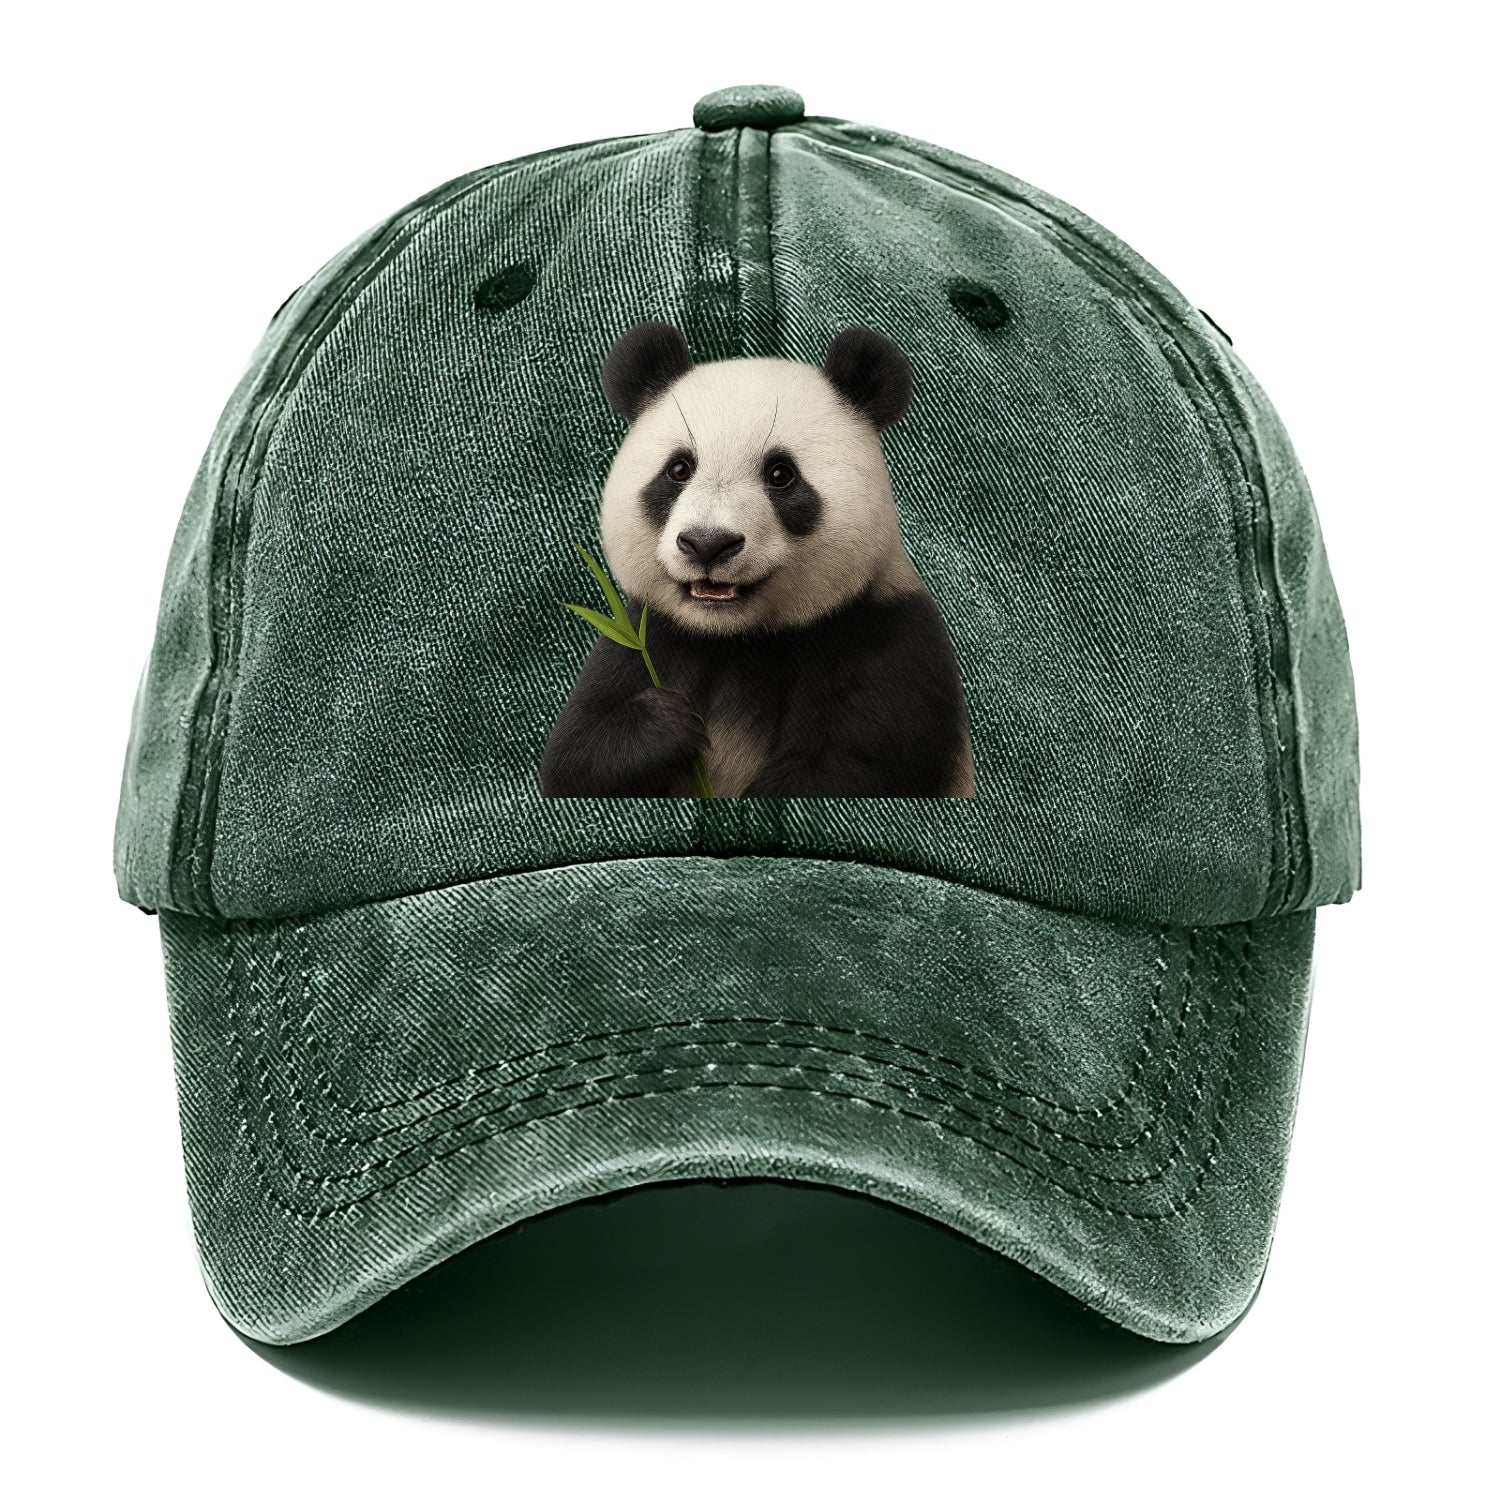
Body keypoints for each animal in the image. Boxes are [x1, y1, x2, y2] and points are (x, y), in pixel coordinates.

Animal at [539, 322, 975, 798]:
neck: (736, 638)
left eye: (781, 474)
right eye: (679, 469)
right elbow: (574, 754)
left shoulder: (885, 639)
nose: (708, 543)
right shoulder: (646, 635)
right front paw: (666, 723)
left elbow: (845, 769)